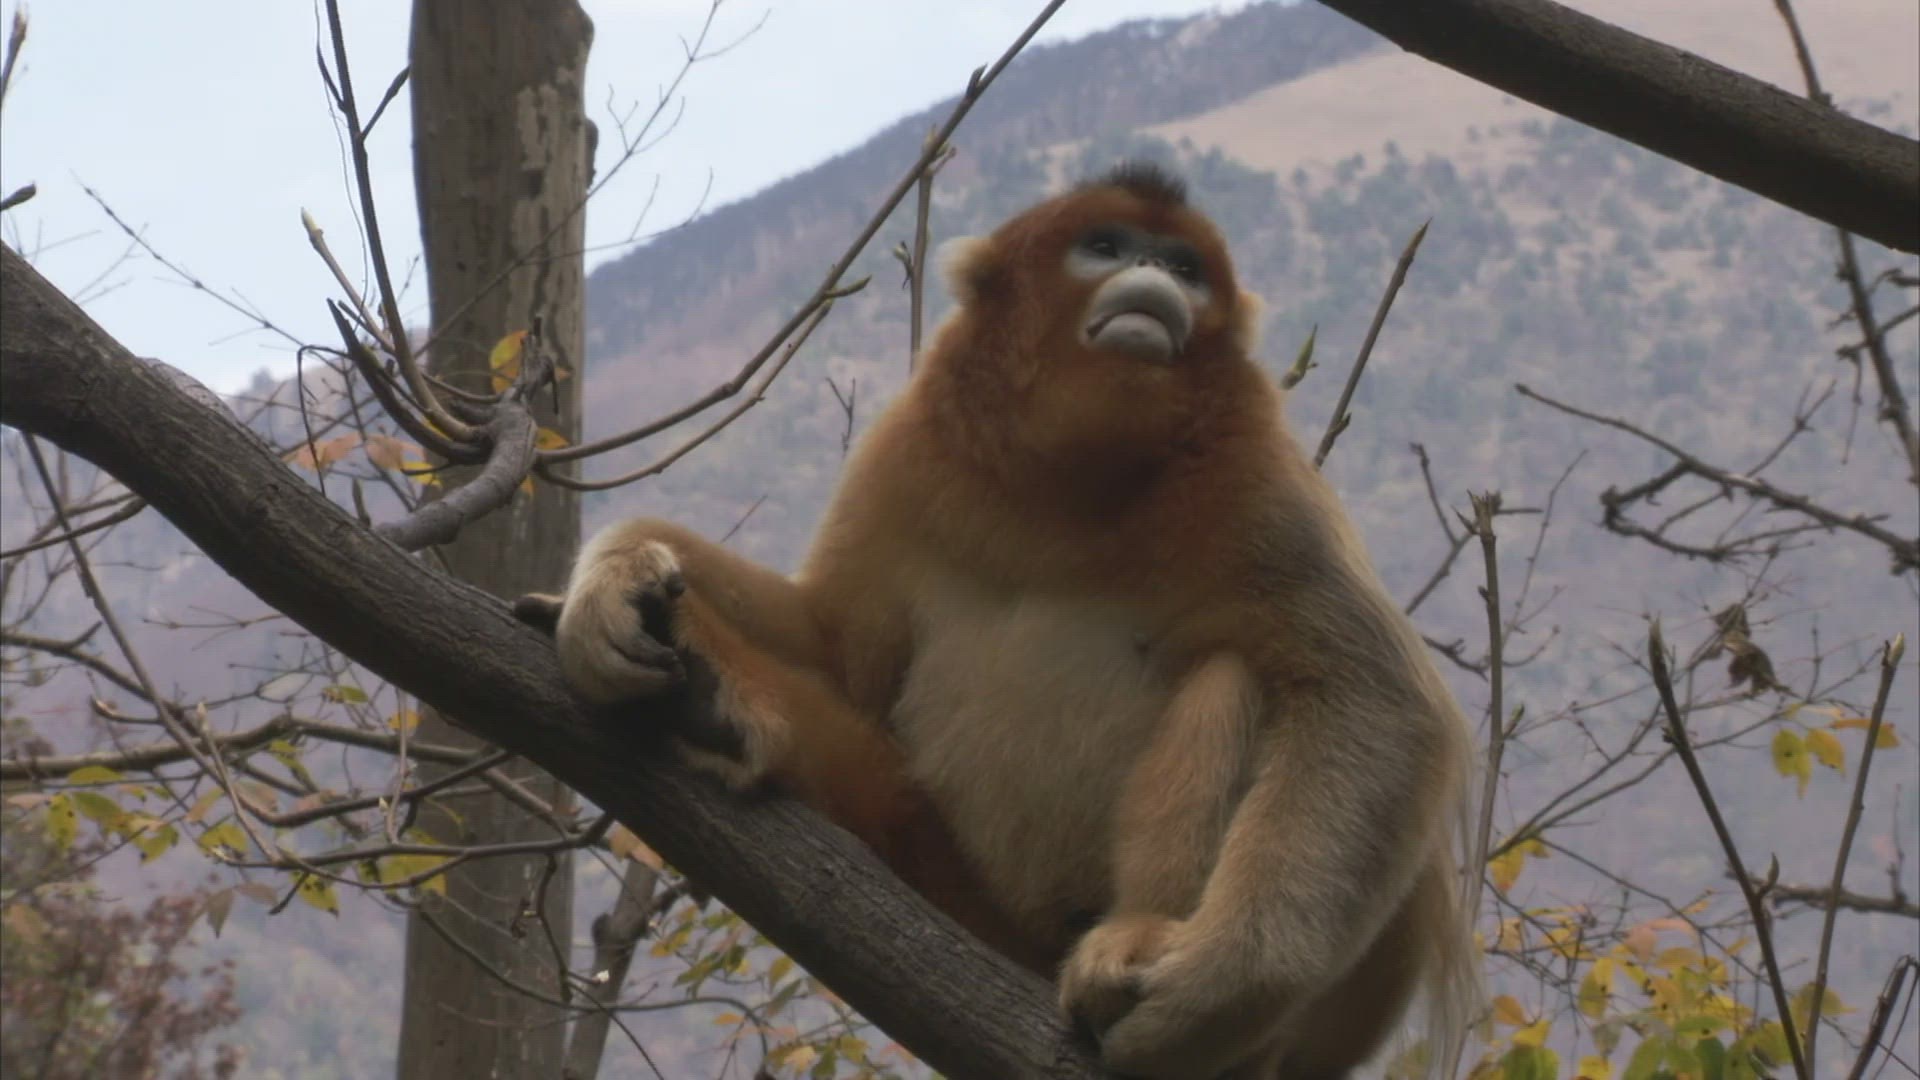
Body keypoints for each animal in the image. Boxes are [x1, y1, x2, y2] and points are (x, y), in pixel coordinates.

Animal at [526, 160, 1481, 1078]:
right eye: (1106, 245)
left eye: (1184, 268)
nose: (1152, 276)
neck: (1068, 485)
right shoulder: (913, 444)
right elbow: (839, 652)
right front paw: (616, 578)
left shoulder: (1256, 474)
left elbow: (1378, 699)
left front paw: (1217, 988)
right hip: (963, 889)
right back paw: (711, 697)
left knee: (1236, 679)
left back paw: (1147, 956)